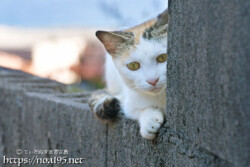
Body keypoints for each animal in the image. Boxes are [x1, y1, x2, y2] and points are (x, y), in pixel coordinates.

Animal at [88, 9, 168, 140]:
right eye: (133, 66)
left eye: (162, 58)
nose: (153, 80)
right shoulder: (132, 100)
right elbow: (132, 109)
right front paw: (150, 121)